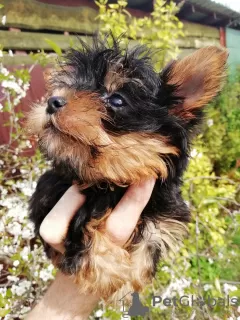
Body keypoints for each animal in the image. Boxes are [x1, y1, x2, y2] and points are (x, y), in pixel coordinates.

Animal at [27, 36, 228, 302]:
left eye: (117, 100)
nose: (52, 101)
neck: (115, 178)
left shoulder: (164, 215)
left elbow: (148, 244)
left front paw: (128, 281)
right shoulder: (53, 193)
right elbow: (86, 220)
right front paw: (108, 275)